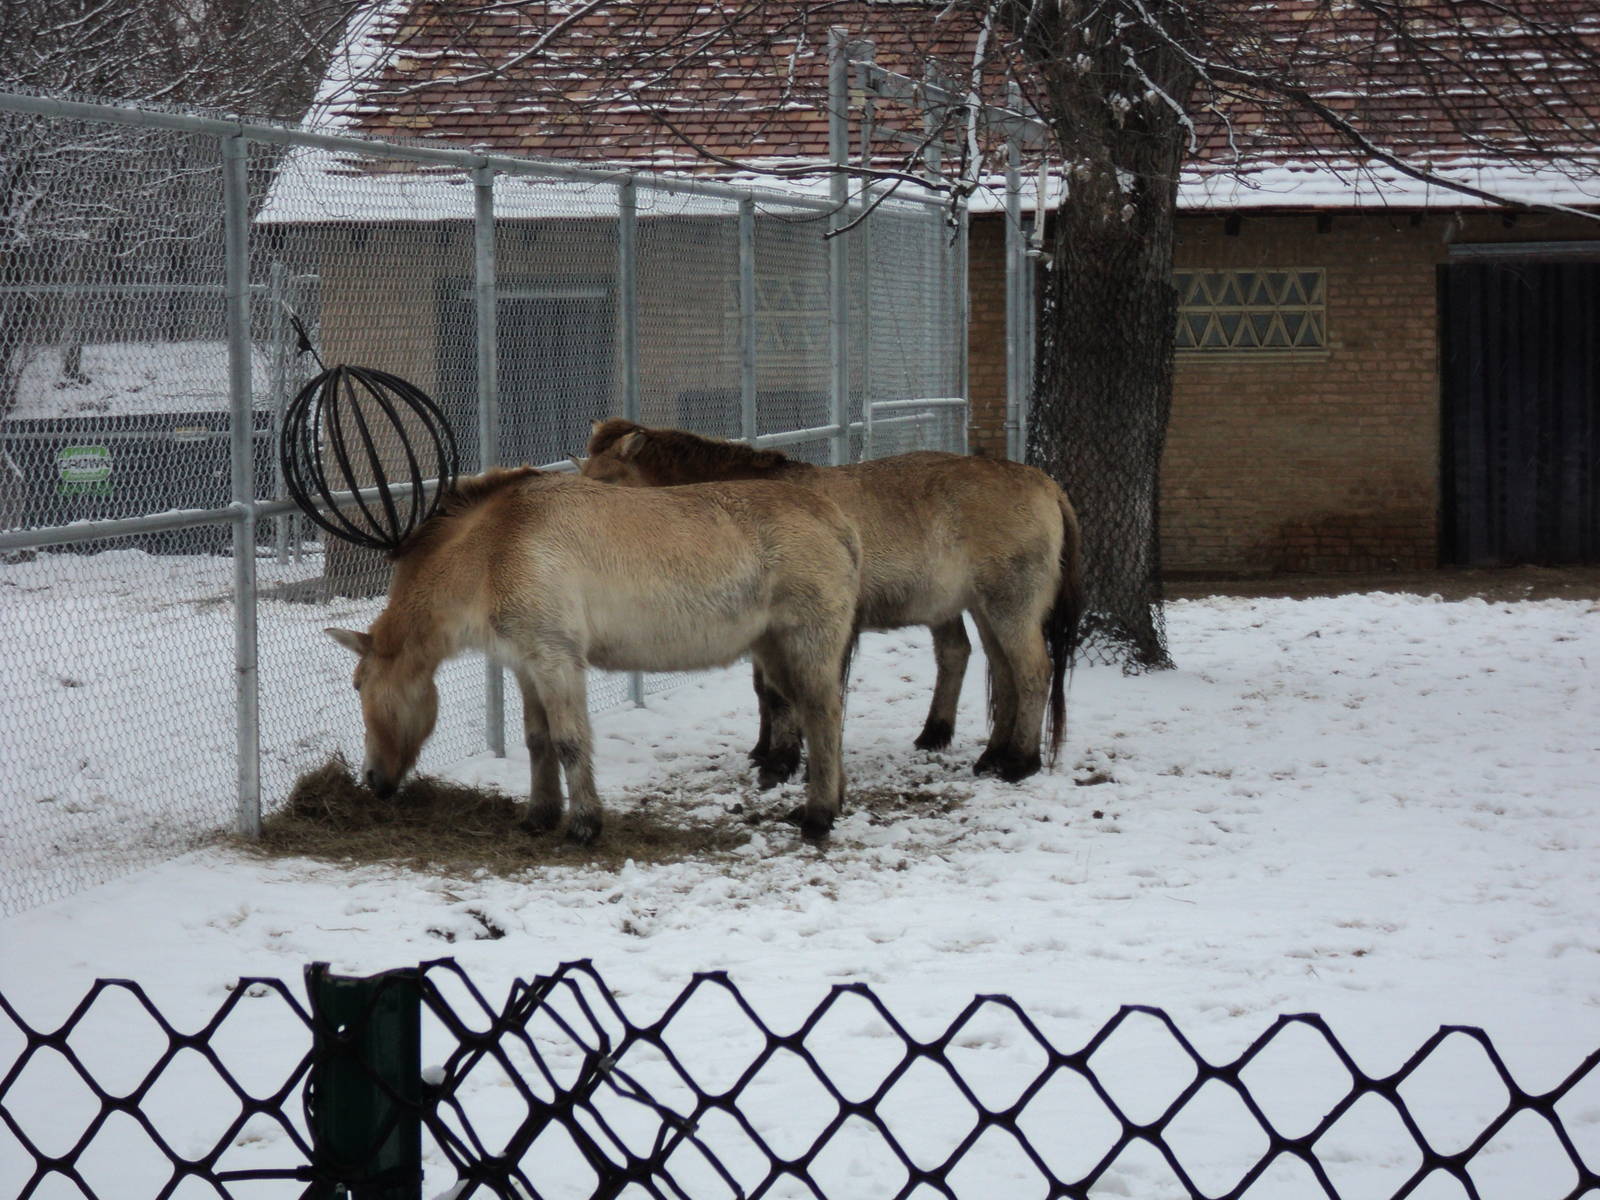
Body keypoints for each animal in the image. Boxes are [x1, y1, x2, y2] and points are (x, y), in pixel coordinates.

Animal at [326, 466, 862, 842]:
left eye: (357, 685)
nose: (372, 779)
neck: (492, 549)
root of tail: (834, 518)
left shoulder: (556, 659)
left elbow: (568, 742)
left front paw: (584, 825)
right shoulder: (526, 665)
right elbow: (538, 741)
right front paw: (539, 816)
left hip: (806, 644)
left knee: (822, 715)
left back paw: (817, 817)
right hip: (774, 651)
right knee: (824, 717)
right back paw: (830, 802)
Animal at [578, 419, 1083, 783]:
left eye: (606, 480)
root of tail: (1044, 483)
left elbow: (782, 695)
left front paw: (781, 763)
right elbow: (765, 692)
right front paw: (766, 751)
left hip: (1010, 606)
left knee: (1032, 672)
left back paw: (1018, 763)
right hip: (985, 608)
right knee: (1003, 673)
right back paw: (990, 754)